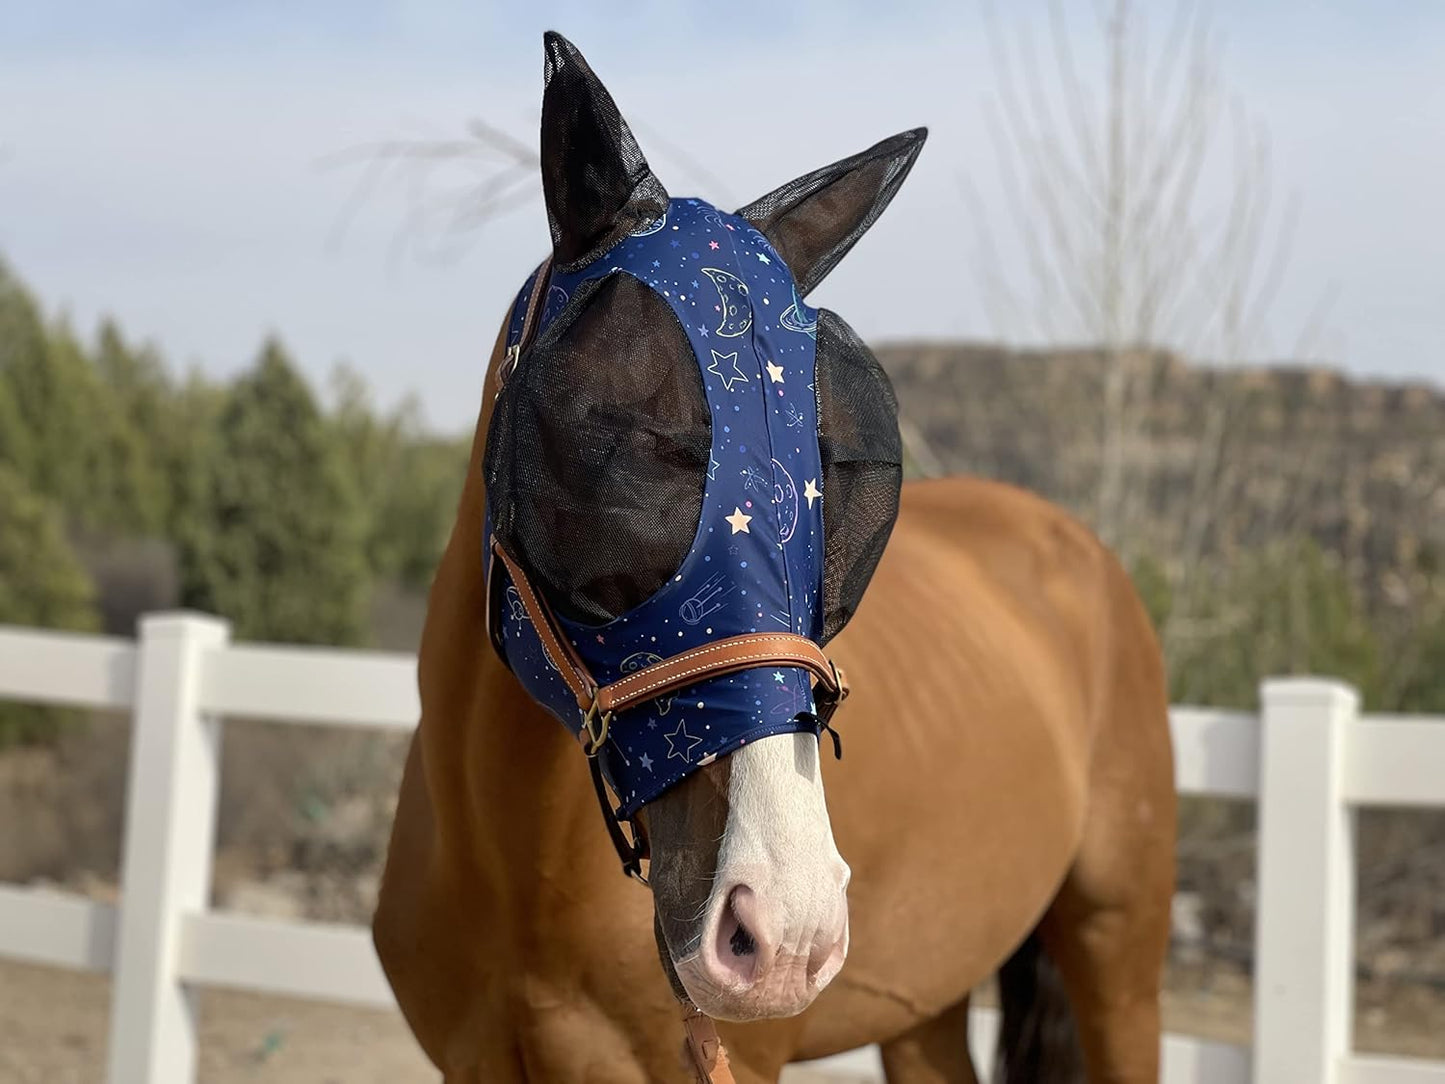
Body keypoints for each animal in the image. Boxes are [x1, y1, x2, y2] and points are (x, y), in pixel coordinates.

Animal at [373, 31, 1176, 1084]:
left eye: (846, 471)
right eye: (613, 436)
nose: (785, 930)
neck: (515, 870)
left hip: (1117, 958)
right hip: (924, 1005)